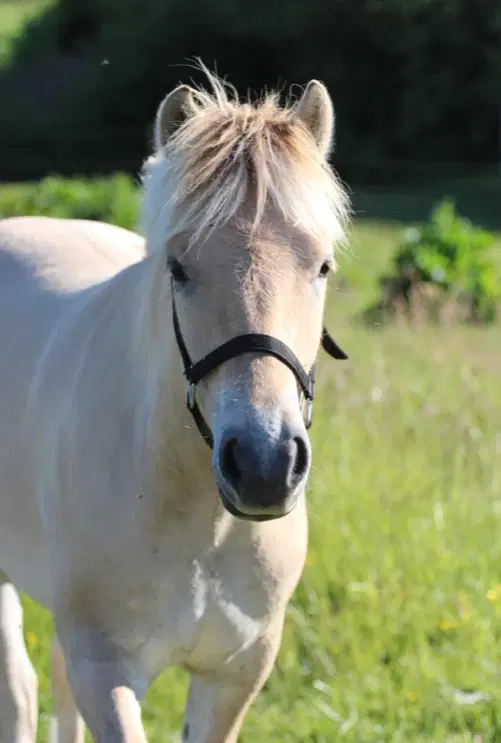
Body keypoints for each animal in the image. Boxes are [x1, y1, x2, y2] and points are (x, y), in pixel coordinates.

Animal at [0, 65, 350, 743]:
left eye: (322, 266)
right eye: (178, 268)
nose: (264, 466)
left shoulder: (234, 673)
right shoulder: (106, 670)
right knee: (20, 692)